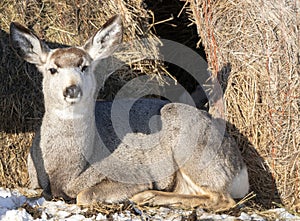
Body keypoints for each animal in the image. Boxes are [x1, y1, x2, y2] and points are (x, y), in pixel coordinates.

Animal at [9, 14, 248, 212]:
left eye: (85, 66)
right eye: (52, 69)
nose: (72, 89)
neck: (65, 174)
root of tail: (240, 167)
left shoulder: (131, 173)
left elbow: (84, 195)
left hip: (195, 153)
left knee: (223, 199)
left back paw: (146, 197)